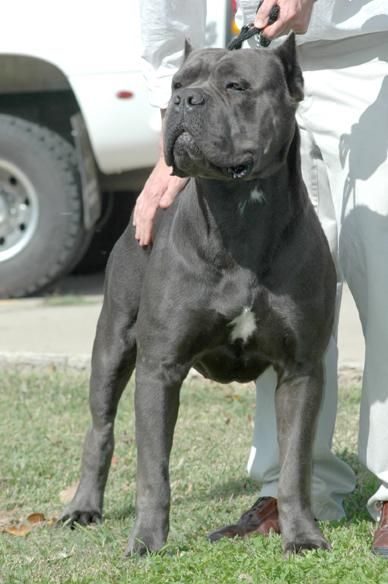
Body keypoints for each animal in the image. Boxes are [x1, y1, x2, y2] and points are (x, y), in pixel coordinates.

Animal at [62, 34, 334, 556]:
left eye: (236, 86)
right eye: (177, 83)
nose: (185, 102)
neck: (239, 214)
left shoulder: (302, 370)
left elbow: (295, 466)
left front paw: (303, 536)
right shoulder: (159, 368)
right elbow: (153, 471)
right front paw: (147, 541)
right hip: (111, 345)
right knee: (100, 429)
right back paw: (83, 506)